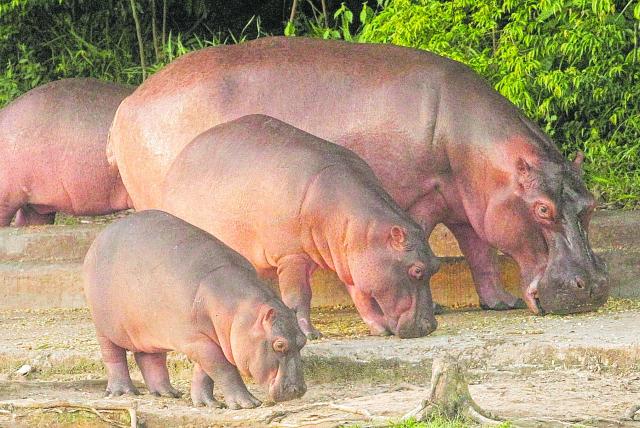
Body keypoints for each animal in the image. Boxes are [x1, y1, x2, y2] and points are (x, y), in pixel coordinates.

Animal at [83, 210, 307, 408]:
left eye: (303, 341)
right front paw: (247, 404)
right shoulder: (199, 341)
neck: (241, 312)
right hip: (104, 327)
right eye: (279, 345)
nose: (299, 390)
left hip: (149, 329)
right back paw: (123, 392)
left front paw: (208, 403)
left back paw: (168, 393)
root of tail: (100, 237)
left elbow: (205, 373)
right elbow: (224, 369)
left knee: (150, 358)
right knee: (113, 356)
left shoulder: (209, 341)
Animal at [108, 36, 609, 315]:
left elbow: (480, 250)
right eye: (542, 209)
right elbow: (427, 238)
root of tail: (127, 103)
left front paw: (499, 302)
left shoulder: (468, 204)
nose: (595, 287)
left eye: (591, 204)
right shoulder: (420, 197)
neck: (478, 149)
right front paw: (434, 303)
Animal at [160, 115, 439, 339]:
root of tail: (176, 163)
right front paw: (310, 334)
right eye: (416, 270)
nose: (431, 326)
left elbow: (360, 295)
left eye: (436, 265)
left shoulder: (348, 257)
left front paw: (379, 328)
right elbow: (299, 296)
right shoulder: (292, 256)